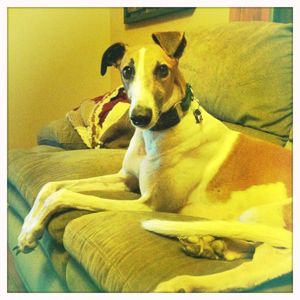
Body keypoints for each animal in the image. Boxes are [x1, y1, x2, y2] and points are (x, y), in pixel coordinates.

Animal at [14, 31, 292, 292]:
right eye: (127, 70)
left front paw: (33, 228)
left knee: (250, 271)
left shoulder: (149, 204)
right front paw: (27, 229)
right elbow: (52, 186)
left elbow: (65, 195)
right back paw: (205, 244)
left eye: (162, 70)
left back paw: (180, 282)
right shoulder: (126, 180)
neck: (156, 134)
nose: (139, 117)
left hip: (262, 217)